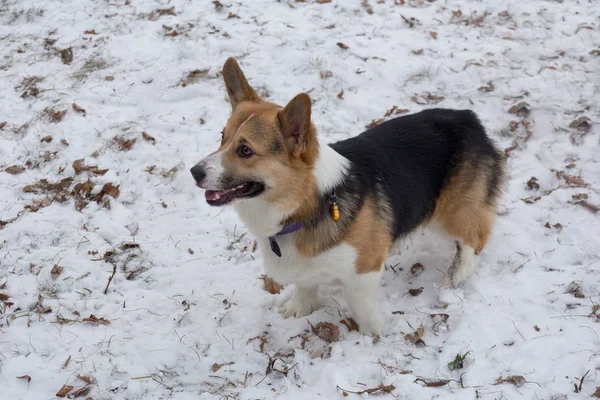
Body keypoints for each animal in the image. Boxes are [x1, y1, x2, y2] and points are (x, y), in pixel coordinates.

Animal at [192, 57, 506, 336]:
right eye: (222, 137)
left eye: (245, 150)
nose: (194, 172)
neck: (305, 206)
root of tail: (469, 117)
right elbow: (305, 286)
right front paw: (299, 309)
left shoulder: (363, 273)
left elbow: (361, 306)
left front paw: (370, 336)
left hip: (451, 213)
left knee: (474, 238)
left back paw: (456, 275)